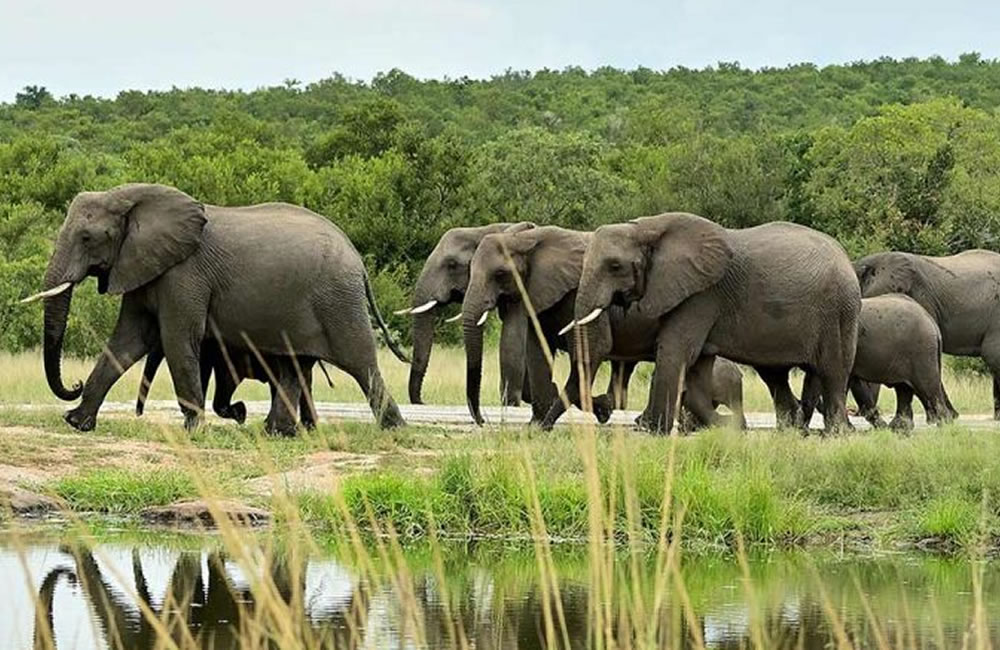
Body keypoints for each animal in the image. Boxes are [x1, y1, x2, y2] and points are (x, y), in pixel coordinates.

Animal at [557, 212, 860, 434]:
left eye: (615, 266)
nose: (603, 409)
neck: (647, 228)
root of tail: (845, 257)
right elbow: (696, 367)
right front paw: (725, 428)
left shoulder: (701, 294)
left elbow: (676, 352)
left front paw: (653, 431)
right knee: (775, 376)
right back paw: (791, 430)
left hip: (839, 313)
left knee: (833, 371)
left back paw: (836, 433)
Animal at [800, 294, 957, 431]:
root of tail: (932, 323)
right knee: (904, 388)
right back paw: (899, 428)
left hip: (921, 352)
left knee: (927, 387)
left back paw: (944, 426)